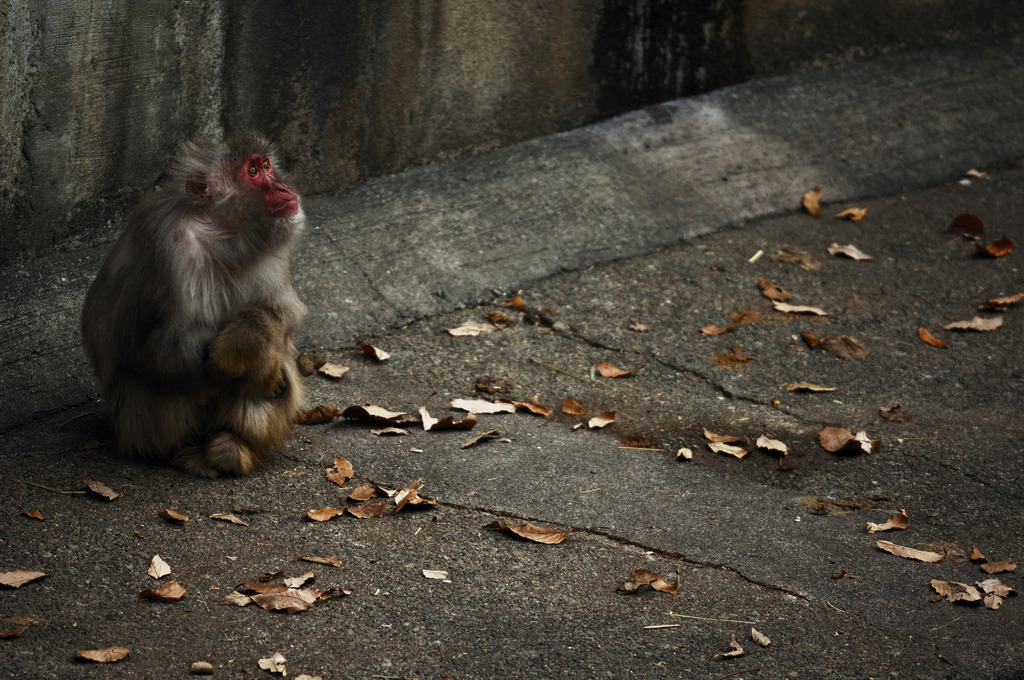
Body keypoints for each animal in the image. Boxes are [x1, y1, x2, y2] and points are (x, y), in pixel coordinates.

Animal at [81, 130, 305, 475]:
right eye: (252, 172)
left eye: (266, 164)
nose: (282, 186)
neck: (220, 233)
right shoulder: (166, 250)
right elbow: (152, 348)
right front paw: (261, 369)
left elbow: (283, 317)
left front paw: (252, 336)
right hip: (138, 428)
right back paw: (186, 452)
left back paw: (232, 448)